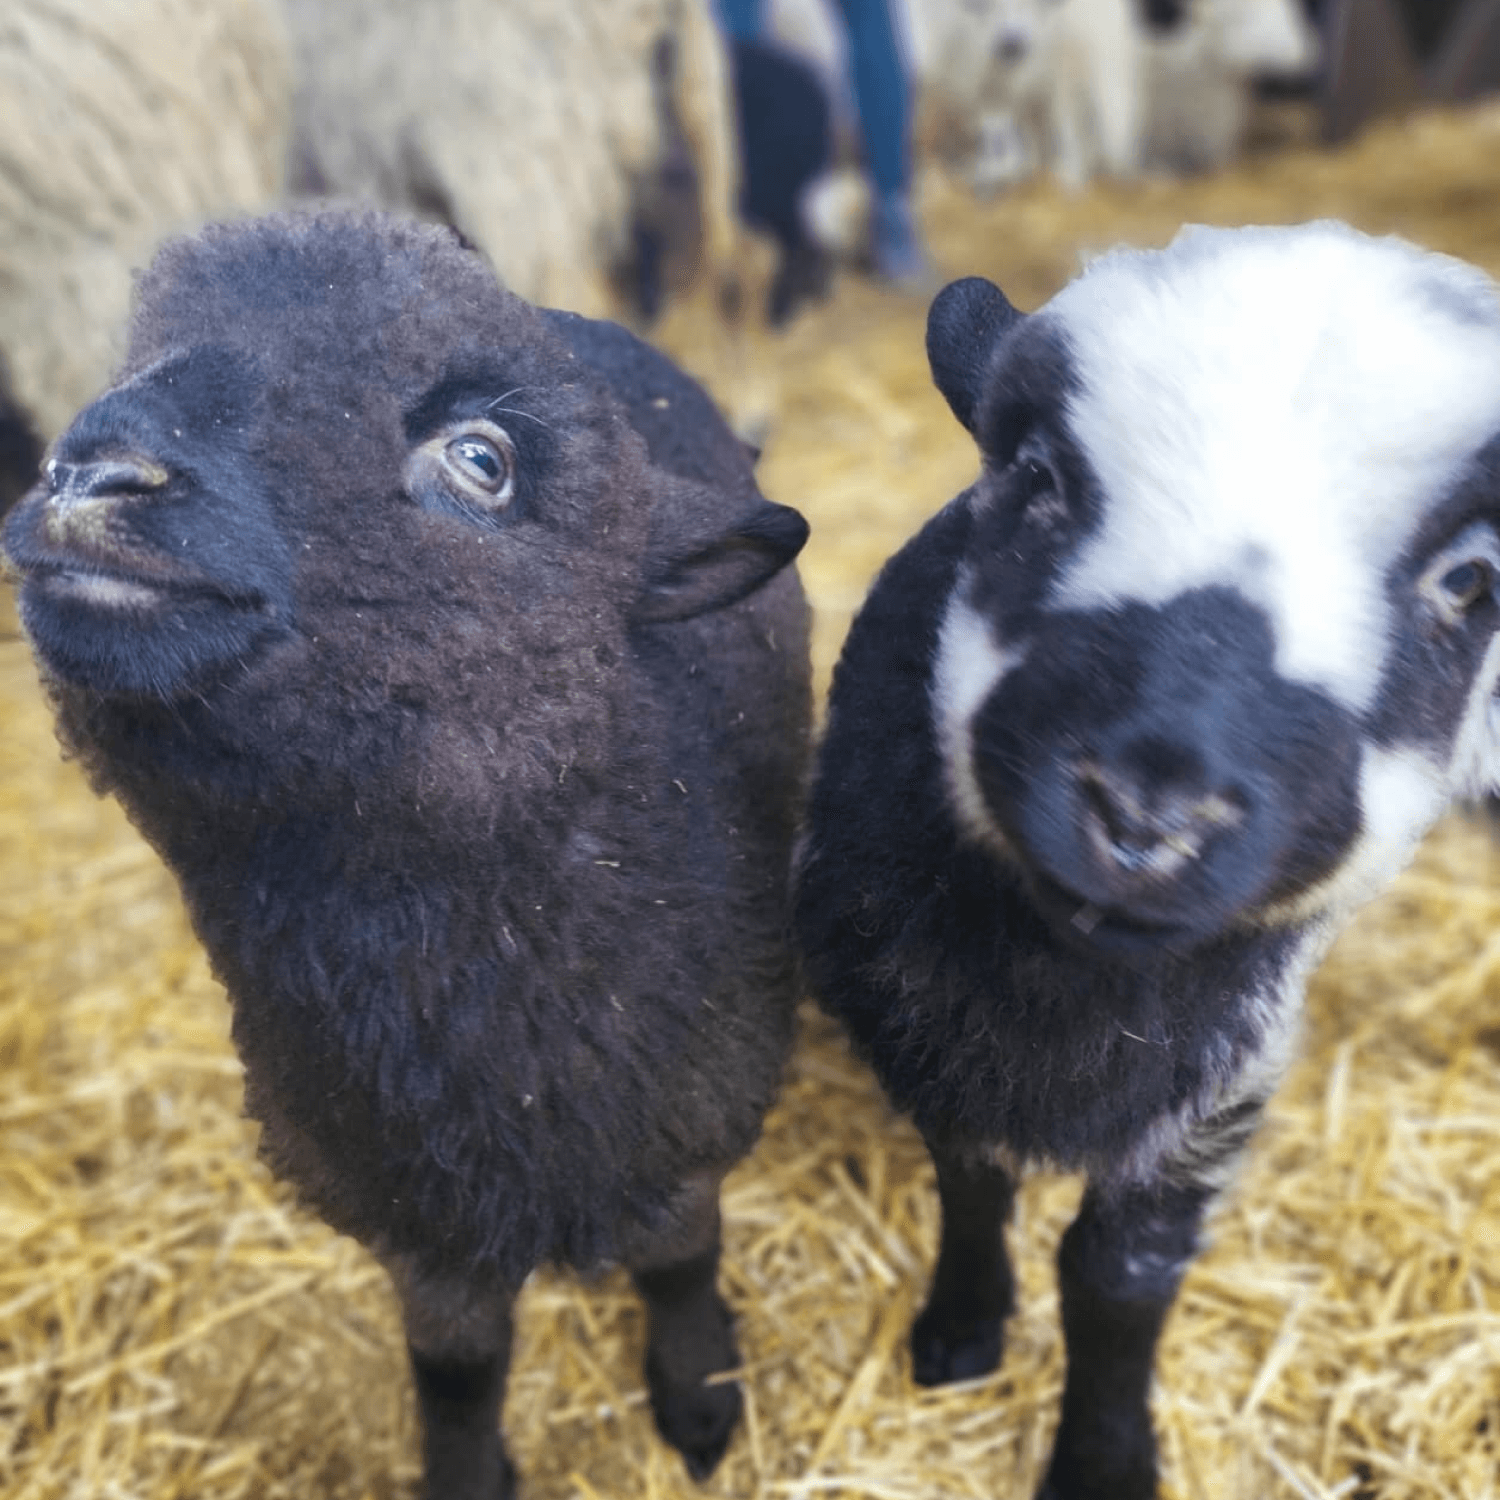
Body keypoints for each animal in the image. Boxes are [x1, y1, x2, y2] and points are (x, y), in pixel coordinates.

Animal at [2, 208, 813, 1499]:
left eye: (484, 460)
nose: (88, 473)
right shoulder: (409, 1204)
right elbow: (458, 1367)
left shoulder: (690, 1112)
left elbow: (683, 1262)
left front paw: (698, 1403)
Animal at [792, 222, 1500, 1500]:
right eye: (1035, 477)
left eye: (1469, 581)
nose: (1145, 816)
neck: (1063, 992)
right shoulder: (927, 1026)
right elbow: (972, 1184)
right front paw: (963, 1330)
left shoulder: (1224, 1079)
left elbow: (1120, 1277)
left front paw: (1103, 1459)